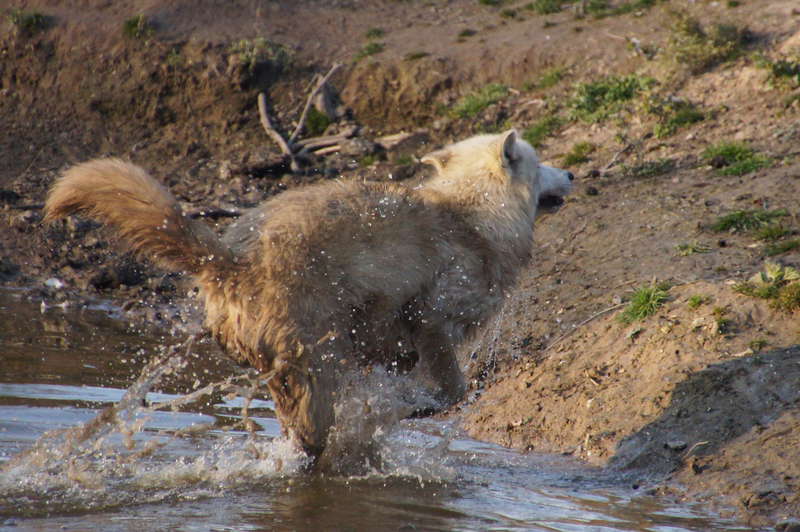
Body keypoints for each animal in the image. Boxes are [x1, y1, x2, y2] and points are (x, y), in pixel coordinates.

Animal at [44, 129, 573, 463]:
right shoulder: (430, 320)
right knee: (312, 443)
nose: (571, 174)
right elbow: (451, 393)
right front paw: (412, 406)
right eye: (541, 161)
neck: (474, 213)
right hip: (319, 359)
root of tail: (232, 260)